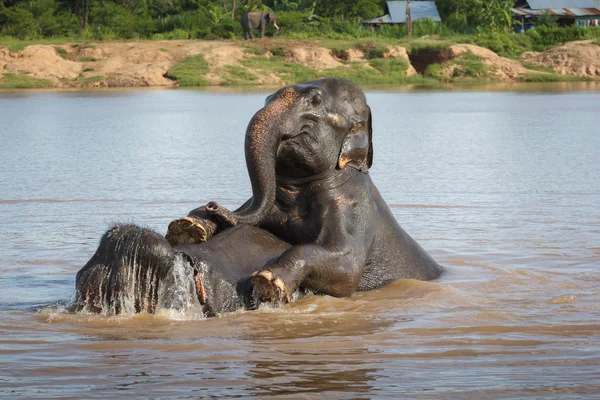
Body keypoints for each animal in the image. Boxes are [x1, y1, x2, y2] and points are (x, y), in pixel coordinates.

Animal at [72, 77, 442, 316]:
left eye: (315, 102)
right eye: (266, 99)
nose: (212, 202)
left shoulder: (352, 205)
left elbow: (346, 269)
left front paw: (268, 283)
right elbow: (250, 213)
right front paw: (188, 226)